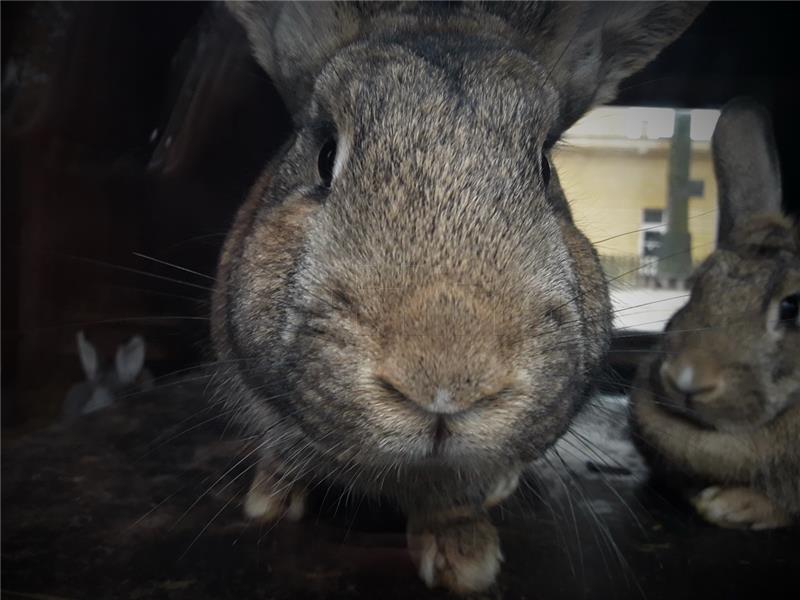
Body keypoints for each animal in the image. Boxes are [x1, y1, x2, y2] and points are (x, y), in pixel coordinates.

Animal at [211, 0, 700, 592]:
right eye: (326, 155)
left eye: (545, 169)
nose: (445, 388)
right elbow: (283, 450)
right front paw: (270, 502)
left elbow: (448, 497)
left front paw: (466, 560)